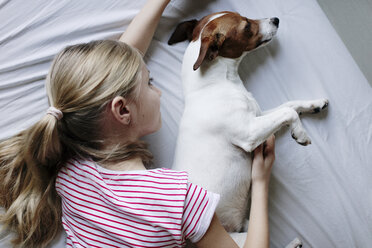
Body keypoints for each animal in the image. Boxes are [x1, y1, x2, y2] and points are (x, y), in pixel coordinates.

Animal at [167, 11, 326, 246]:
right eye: (247, 26)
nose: (276, 19)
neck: (216, 83)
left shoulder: (258, 116)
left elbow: (290, 105)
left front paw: (314, 104)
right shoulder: (249, 132)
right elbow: (289, 113)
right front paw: (300, 133)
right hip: (239, 240)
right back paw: (294, 243)